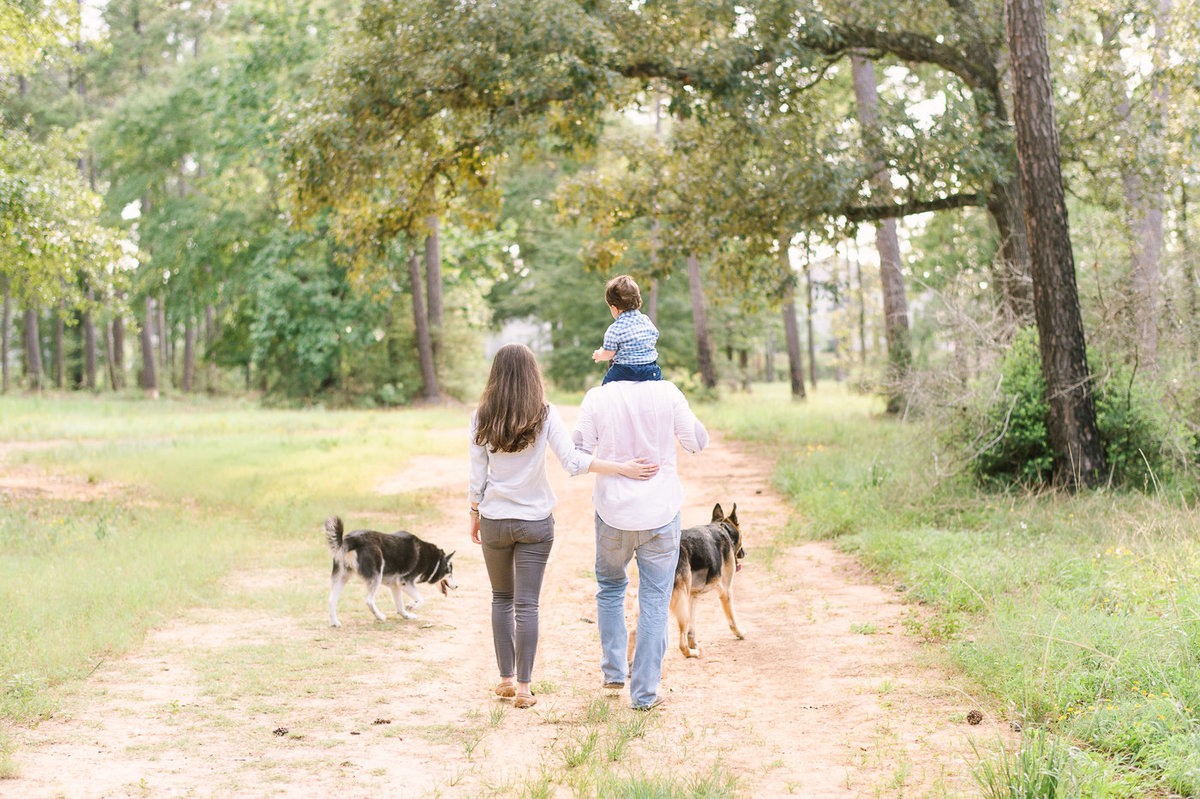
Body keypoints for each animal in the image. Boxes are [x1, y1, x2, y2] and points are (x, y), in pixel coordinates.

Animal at [326, 513, 456, 623]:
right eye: (450, 574)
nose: (457, 586)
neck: (435, 561)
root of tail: (352, 539)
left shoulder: (395, 586)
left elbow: (400, 606)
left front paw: (406, 615)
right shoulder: (405, 582)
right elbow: (421, 599)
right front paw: (411, 606)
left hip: (342, 578)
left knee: (332, 600)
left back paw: (334, 623)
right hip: (376, 576)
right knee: (369, 601)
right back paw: (380, 616)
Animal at [633, 503, 744, 657]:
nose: (744, 553)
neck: (722, 527)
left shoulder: (693, 595)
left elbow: (692, 628)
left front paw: (694, 643)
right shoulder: (726, 592)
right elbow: (732, 619)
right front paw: (740, 633)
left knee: (634, 633)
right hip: (681, 602)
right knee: (681, 644)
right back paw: (692, 653)